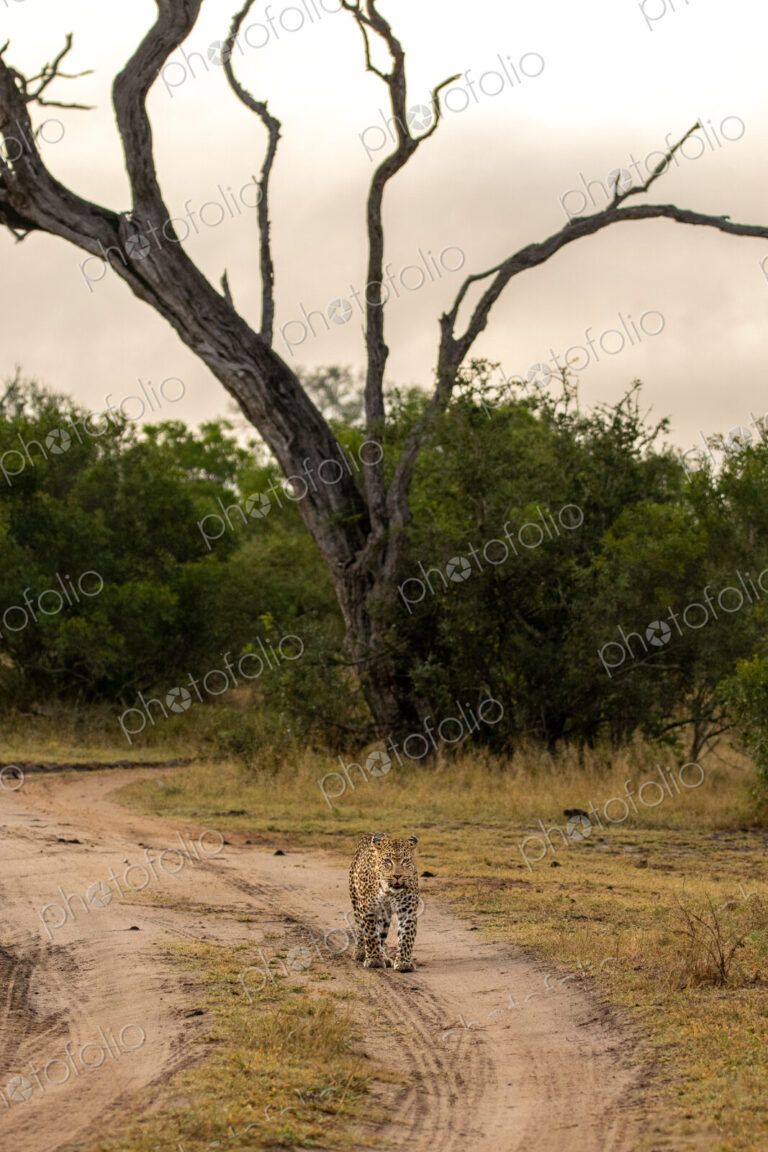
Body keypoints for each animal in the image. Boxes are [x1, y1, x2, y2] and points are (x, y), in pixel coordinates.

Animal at [349, 831, 420, 972]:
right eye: (387, 861)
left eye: (405, 861)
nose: (397, 876)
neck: (389, 892)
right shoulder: (368, 909)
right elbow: (370, 933)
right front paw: (374, 959)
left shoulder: (408, 910)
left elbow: (406, 935)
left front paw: (403, 962)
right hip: (356, 901)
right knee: (360, 928)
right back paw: (360, 952)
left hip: (385, 915)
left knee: (381, 935)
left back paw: (384, 957)